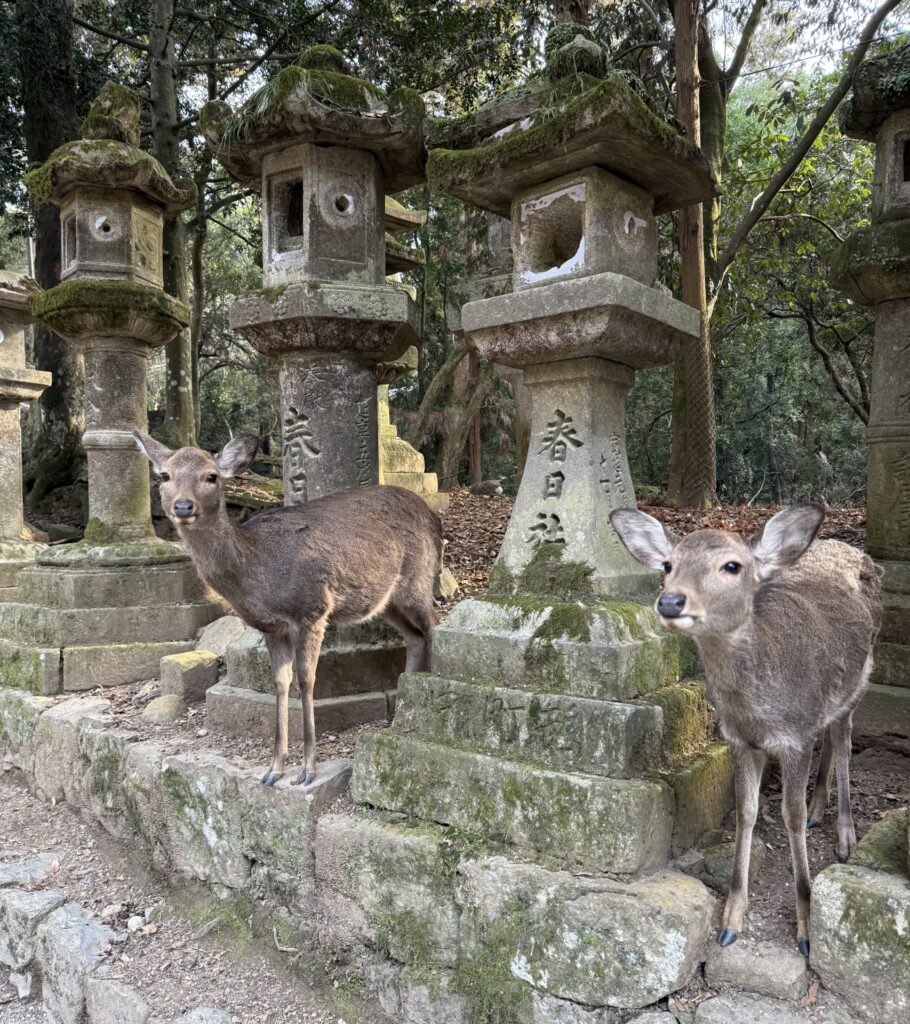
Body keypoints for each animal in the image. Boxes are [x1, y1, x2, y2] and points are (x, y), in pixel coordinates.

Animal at [134, 431, 443, 788]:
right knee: (415, 637)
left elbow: (306, 680)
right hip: (386, 600)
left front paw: (308, 769)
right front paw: (274, 769)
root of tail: (433, 517)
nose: (183, 506)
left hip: (419, 579)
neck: (257, 574)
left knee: (434, 624)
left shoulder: (312, 610)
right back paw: (401, 710)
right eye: (164, 476)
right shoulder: (271, 627)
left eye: (211, 476)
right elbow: (280, 683)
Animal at [609, 504, 882, 958]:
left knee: (844, 740)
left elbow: (788, 816)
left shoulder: (795, 737)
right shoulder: (739, 740)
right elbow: (746, 812)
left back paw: (845, 838)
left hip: (860, 681)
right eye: (668, 565)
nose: (670, 601)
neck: (758, 711)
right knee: (831, 737)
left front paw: (805, 927)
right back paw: (819, 809)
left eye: (732, 566)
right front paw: (730, 922)